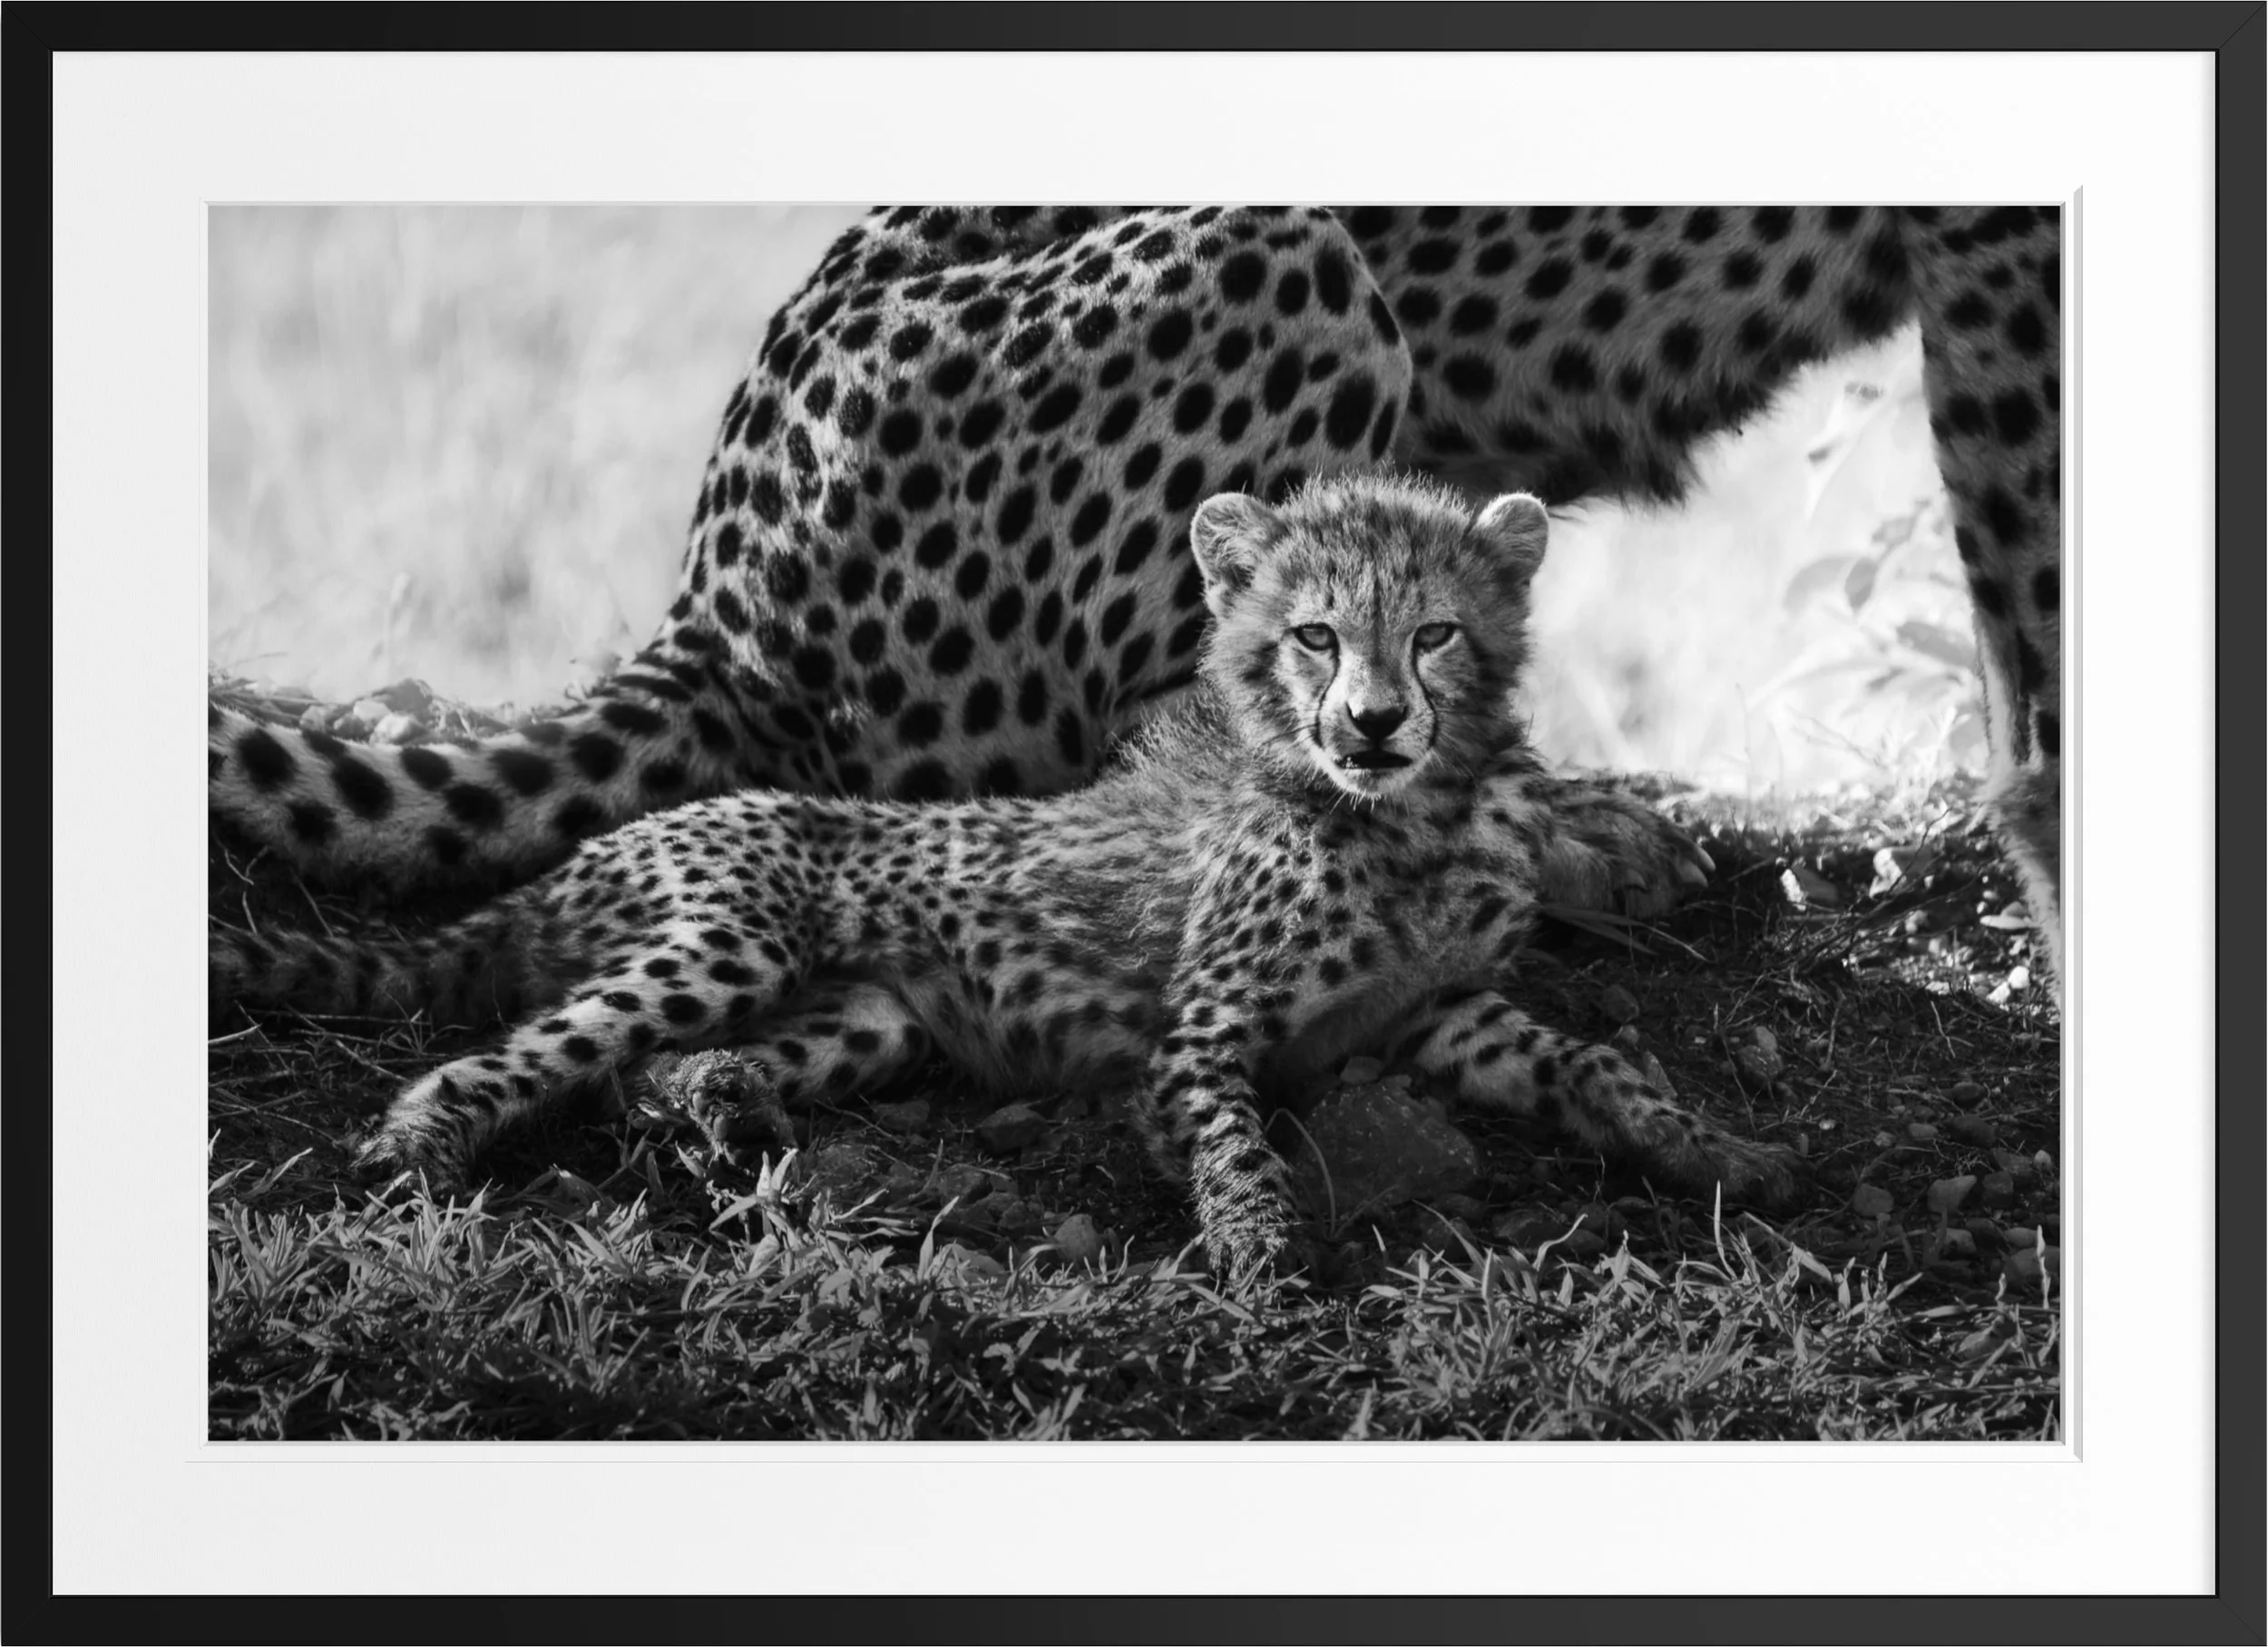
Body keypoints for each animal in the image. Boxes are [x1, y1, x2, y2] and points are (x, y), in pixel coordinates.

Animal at [210, 475, 1798, 1280]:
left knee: (660, 1073)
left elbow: (1594, 1061)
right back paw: (421, 1152)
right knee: (514, 1048)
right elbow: (1234, 1145)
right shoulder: (1202, 1033)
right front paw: (1261, 1264)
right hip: (719, 939)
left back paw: (720, 1117)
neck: (1402, 814)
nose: (1373, 722)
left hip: (875, 1015)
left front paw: (1715, 1149)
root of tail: (602, 844)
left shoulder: (1435, 1012)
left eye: (1436, 636)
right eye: (1315, 637)